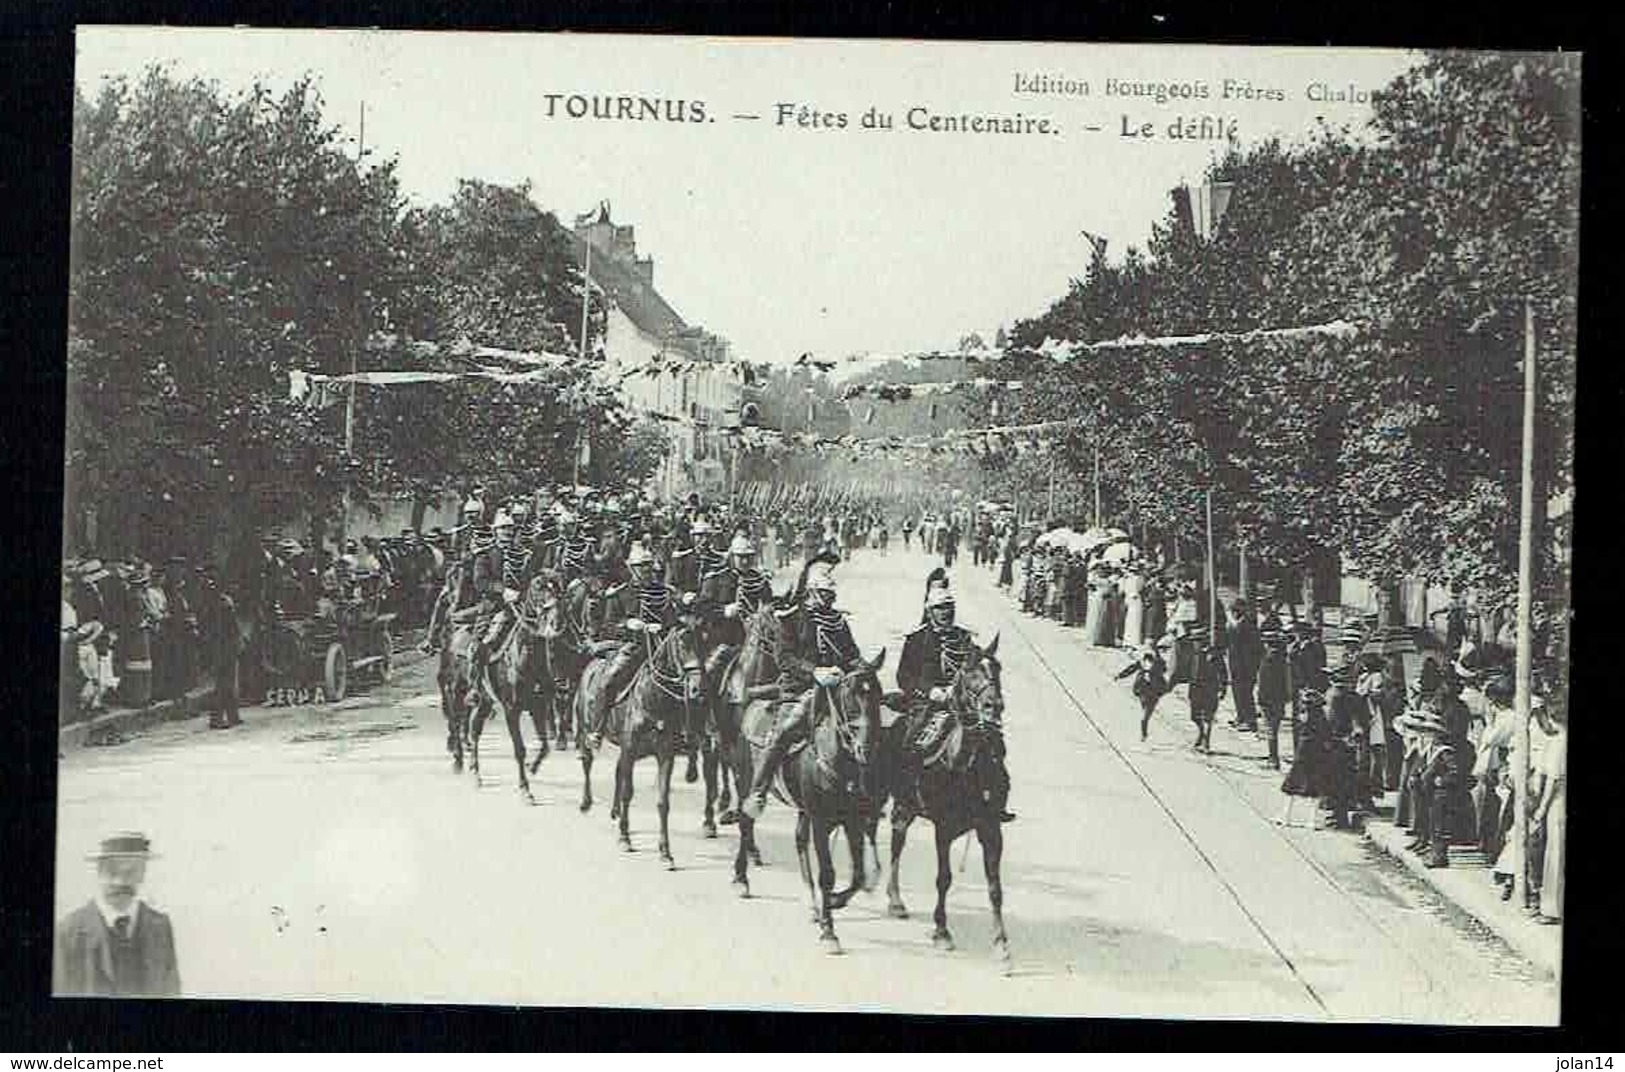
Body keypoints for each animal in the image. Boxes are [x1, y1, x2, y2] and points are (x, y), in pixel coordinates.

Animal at [575, 613, 708, 864]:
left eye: (704, 641)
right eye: (683, 642)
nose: (698, 689)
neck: (654, 698)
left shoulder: (665, 754)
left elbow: (663, 802)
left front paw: (665, 851)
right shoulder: (630, 747)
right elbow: (628, 792)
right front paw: (625, 838)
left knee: (618, 770)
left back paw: (615, 812)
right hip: (586, 729)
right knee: (588, 762)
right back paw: (586, 803)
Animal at [734, 652, 890, 955]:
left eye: (878, 694)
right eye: (850, 695)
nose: (866, 750)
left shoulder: (852, 821)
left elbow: (858, 874)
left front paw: (835, 902)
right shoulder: (820, 819)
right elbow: (828, 873)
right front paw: (830, 931)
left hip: (805, 811)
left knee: (798, 840)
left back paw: (813, 903)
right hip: (748, 782)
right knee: (746, 823)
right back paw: (741, 879)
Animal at [871, 633, 1007, 968]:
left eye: (997, 669)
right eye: (970, 673)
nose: (994, 706)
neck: (965, 765)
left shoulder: (991, 829)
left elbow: (995, 887)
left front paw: (1001, 944)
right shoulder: (943, 829)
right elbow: (943, 878)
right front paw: (942, 931)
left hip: (905, 804)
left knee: (897, 838)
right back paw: (892, 898)